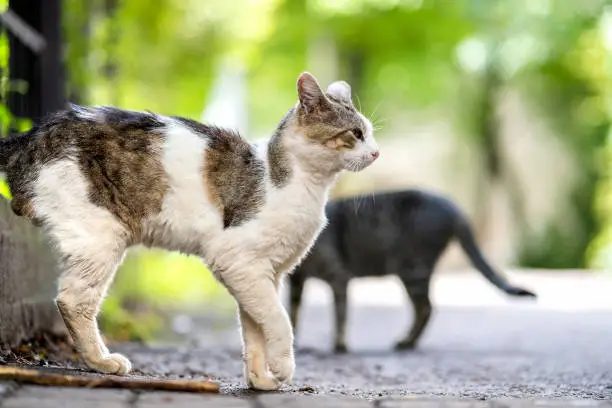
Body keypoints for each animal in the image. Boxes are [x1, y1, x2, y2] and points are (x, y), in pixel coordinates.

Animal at [0, 72, 378, 388]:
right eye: (355, 134)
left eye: (370, 132)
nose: (376, 152)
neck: (300, 185)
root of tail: (30, 135)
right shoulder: (238, 262)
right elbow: (279, 319)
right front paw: (283, 368)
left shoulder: (262, 274)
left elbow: (255, 330)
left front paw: (260, 380)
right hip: (101, 236)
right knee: (72, 300)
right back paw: (103, 362)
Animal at [286, 190, 536, 352]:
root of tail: (451, 205)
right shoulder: (296, 281)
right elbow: (293, 313)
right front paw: (293, 342)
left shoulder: (339, 276)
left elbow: (340, 314)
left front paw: (340, 345)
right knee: (424, 308)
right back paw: (409, 341)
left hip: (412, 268)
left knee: (426, 307)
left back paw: (406, 342)